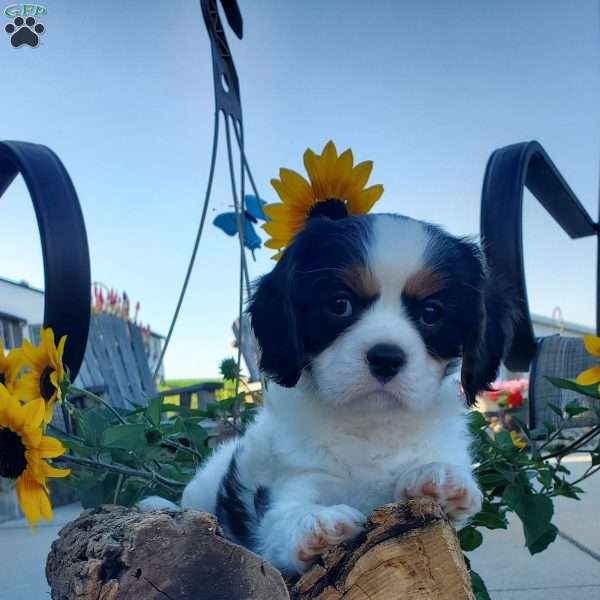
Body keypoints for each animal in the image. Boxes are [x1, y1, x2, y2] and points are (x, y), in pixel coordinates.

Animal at [145, 210, 510, 572]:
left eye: (432, 313)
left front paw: (439, 478)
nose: (386, 357)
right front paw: (316, 523)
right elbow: (283, 519)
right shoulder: (293, 484)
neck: (369, 425)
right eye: (339, 305)